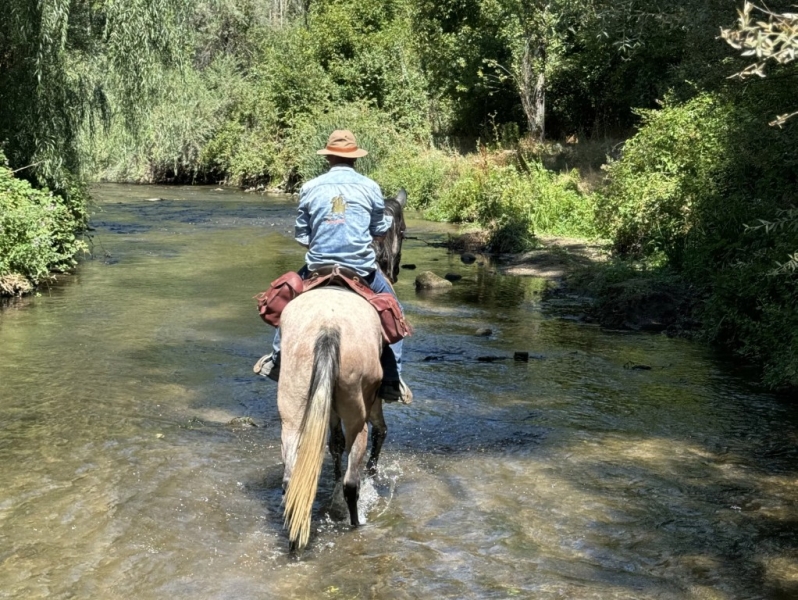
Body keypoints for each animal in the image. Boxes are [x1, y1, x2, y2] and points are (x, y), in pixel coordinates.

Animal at [278, 190, 410, 552]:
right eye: (404, 231)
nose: (395, 272)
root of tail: (328, 327)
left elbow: (334, 446)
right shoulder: (373, 404)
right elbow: (381, 433)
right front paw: (373, 475)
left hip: (294, 413)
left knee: (292, 476)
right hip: (356, 415)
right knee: (353, 479)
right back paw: (356, 523)